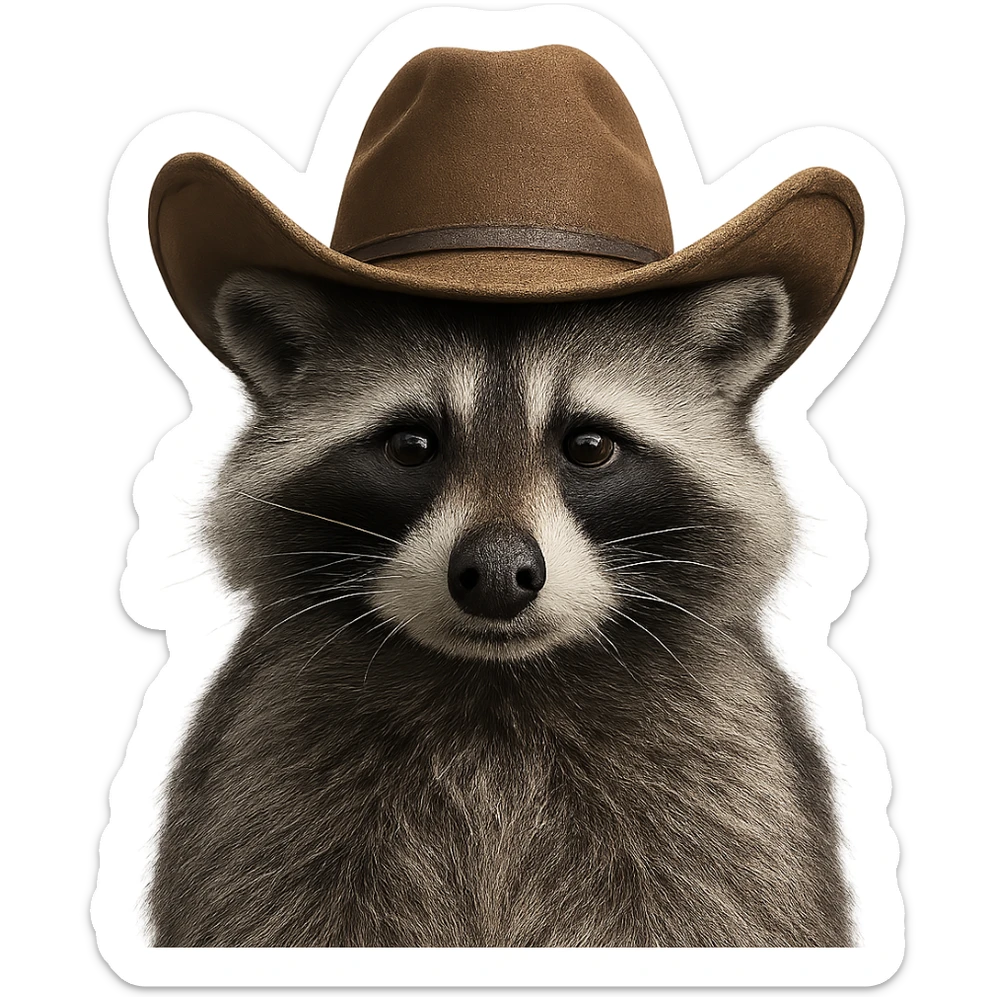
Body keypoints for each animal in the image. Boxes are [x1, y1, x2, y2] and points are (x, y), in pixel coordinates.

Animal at [149, 268, 853, 947]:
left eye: (589, 446)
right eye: (411, 446)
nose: (494, 577)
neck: (496, 683)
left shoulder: (721, 780)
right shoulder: (270, 767)